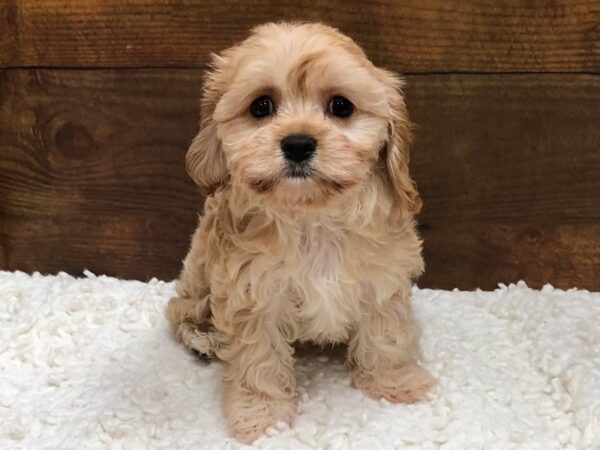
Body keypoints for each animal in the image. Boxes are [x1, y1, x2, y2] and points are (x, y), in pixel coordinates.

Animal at [166, 22, 434, 442]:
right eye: (261, 106)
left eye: (341, 106)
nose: (297, 143)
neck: (312, 217)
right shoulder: (251, 294)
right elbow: (257, 360)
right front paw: (261, 416)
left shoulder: (382, 281)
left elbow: (386, 335)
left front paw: (395, 382)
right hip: (198, 272)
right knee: (180, 310)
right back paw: (203, 339)